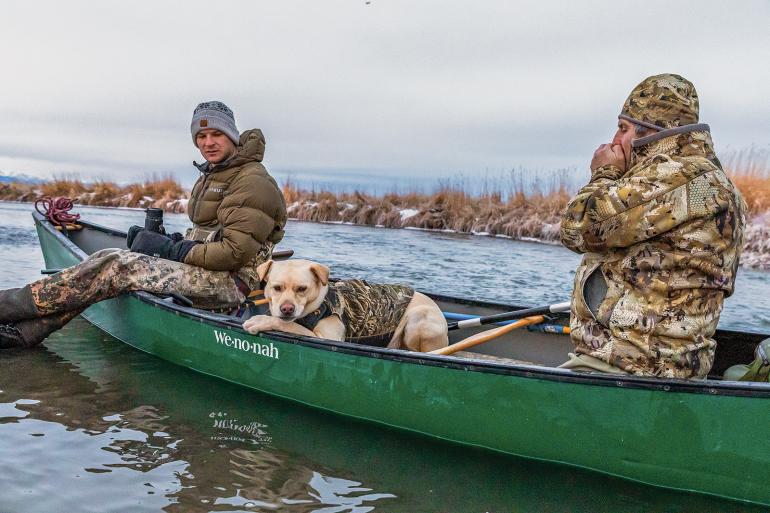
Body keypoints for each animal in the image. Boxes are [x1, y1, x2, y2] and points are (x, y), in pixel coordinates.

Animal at [240, 258, 448, 350]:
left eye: (302, 288)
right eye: (276, 288)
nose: (287, 309)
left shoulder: (327, 337)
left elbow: (289, 325)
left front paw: (261, 320)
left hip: (418, 319)